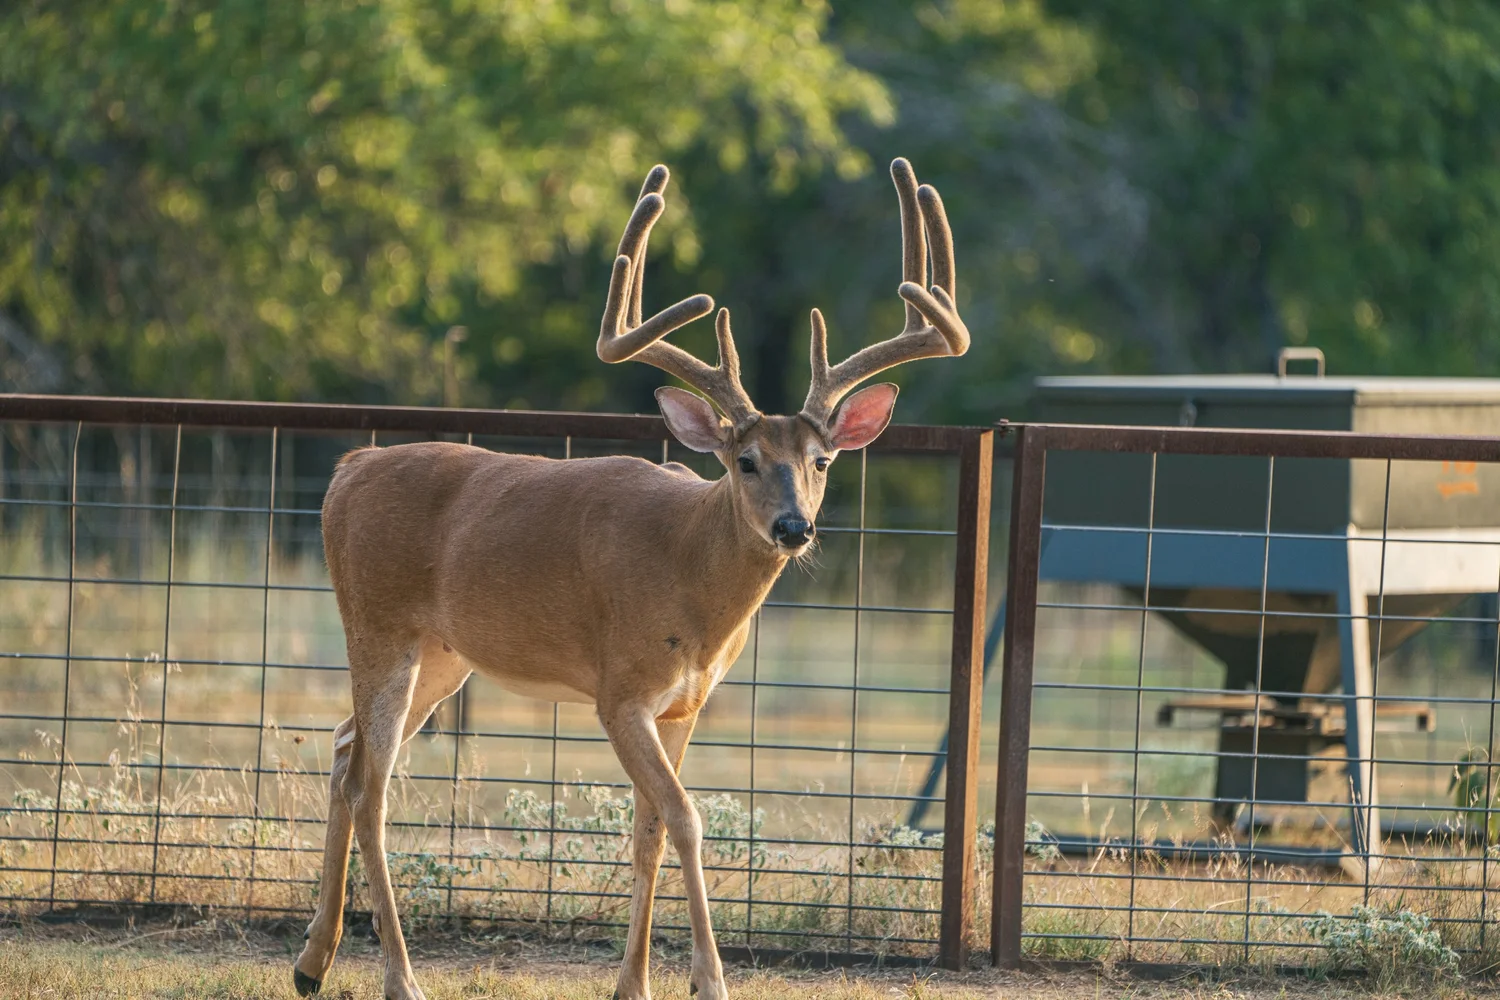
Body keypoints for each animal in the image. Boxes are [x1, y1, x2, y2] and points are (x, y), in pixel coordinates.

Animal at [292, 157, 968, 1000]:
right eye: (745, 461)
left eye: (821, 461)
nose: (794, 528)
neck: (691, 574)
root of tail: (347, 470)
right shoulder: (619, 690)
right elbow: (685, 818)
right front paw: (708, 980)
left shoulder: (686, 703)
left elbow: (648, 827)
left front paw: (634, 982)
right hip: (379, 625)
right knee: (371, 787)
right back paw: (400, 977)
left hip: (444, 658)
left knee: (343, 747)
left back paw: (312, 961)